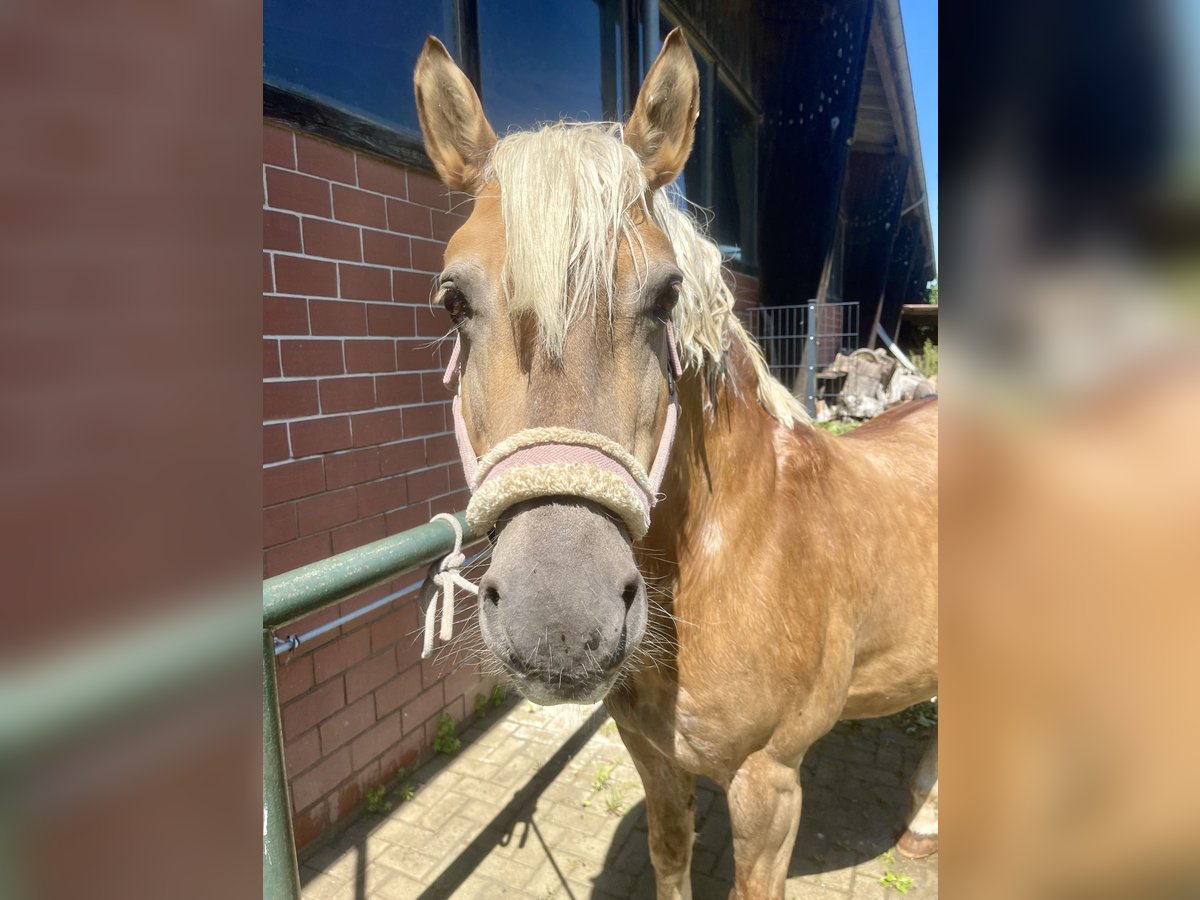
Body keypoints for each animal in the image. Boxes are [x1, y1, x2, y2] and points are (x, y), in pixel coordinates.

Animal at [412, 30, 936, 900]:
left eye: (665, 296)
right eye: (454, 300)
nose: (560, 621)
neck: (731, 553)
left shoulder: (768, 787)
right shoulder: (655, 760)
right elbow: (668, 856)